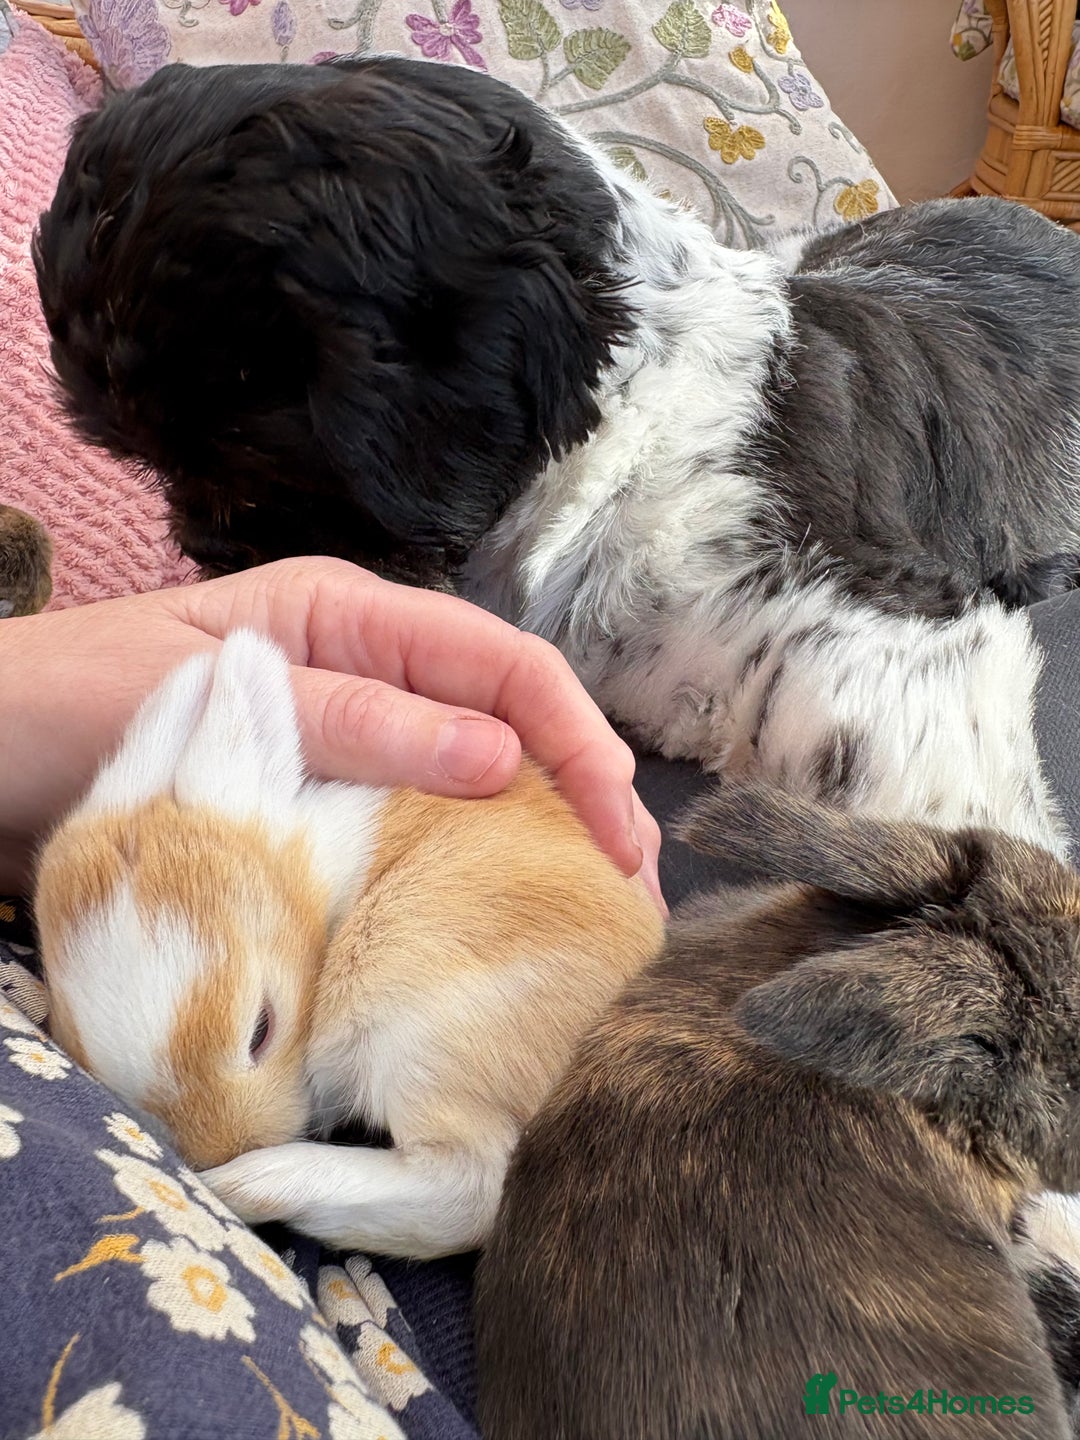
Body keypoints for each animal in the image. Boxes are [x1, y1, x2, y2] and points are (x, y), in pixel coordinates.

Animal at [35, 629, 664, 1259]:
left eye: (261, 1030)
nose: (225, 1147)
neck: (319, 875)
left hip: (420, 1008)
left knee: (471, 1190)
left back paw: (251, 1183)